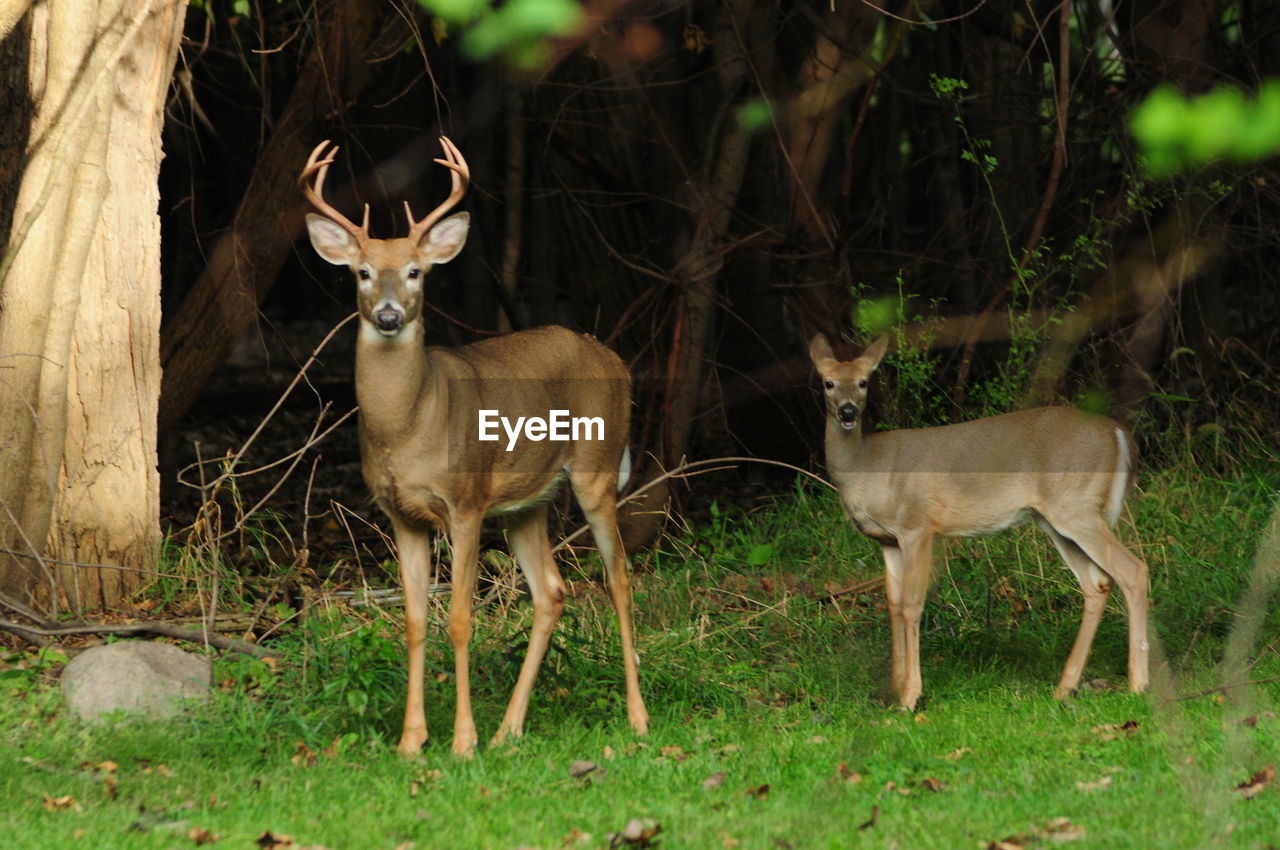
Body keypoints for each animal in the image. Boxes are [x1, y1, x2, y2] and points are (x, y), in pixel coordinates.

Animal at [300, 139, 650, 757]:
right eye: (363, 273)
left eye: (415, 272)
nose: (388, 314)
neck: (410, 426)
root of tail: (614, 359)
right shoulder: (400, 513)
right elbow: (416, 619)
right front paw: (411, 741)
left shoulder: (464, 501)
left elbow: (460, 618)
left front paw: (461, 740)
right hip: (528, 502)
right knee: (551, 592)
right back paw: (510, 730)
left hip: (596, 469)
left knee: (618, 580)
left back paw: (636, 720)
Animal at [814, 332, 1157, 711]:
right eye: (828, 382)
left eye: (863, 382)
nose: (847, 411)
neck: (867, 467)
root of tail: (1118, 433)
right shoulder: (886, 540)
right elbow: (892, 604)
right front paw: (895, 687)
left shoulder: (918, 526)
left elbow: (911, 605)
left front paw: (910, 696)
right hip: (1055, 518)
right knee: (1097, 583)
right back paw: (1065, 687)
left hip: (1077, 507)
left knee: (1133, 570)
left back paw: (1138, 683)